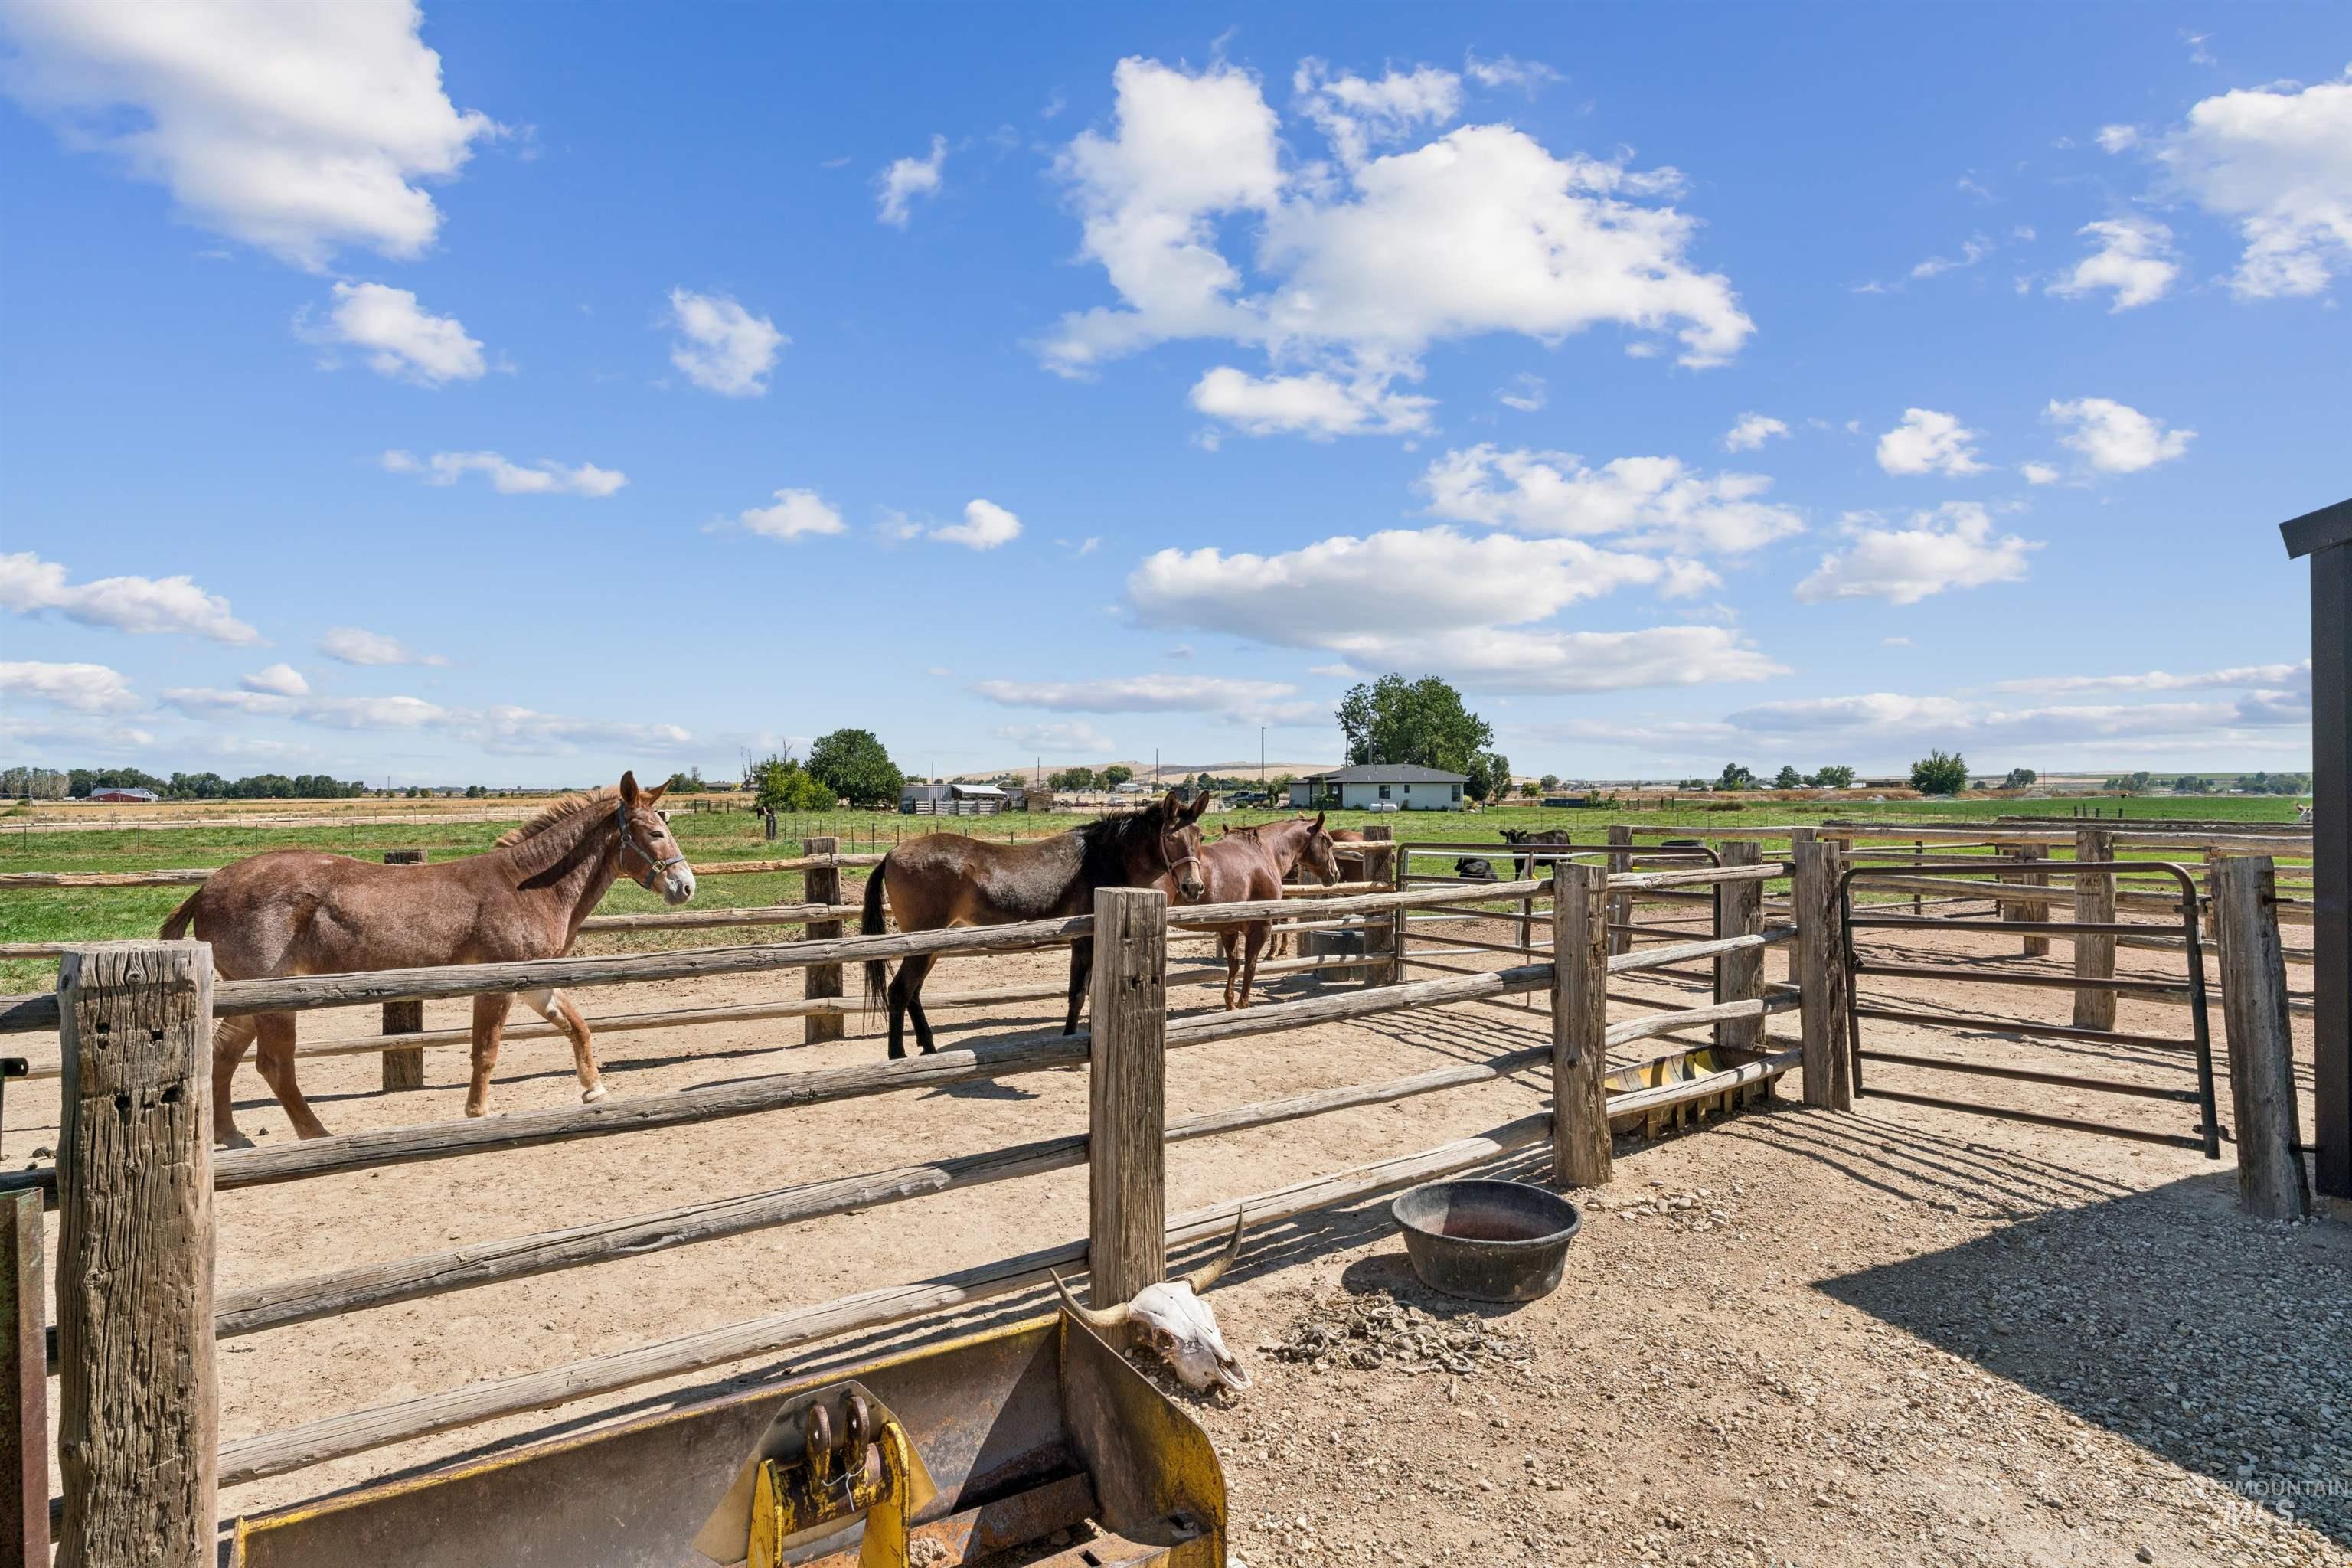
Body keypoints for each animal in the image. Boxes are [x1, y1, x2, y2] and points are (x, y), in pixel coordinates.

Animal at [162, 772, 695, 1146]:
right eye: (652, 832)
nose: (686, 886)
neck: (526, 887)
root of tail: (207, 888)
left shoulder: (534, 983)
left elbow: (578, 1026)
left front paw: (593, 1089)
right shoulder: (497, 984)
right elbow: (485, 1052)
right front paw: (478, 1113)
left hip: (250, 1002)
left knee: (224, 1054)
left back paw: (232, 1136)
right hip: (275, 1002)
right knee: (274, 1066)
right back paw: (316, 1135)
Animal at [861, 790, 1210, 1058]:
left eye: (1200, 836)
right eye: (1170, 837)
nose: (1194, 887)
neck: (1103, 858)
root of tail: (891, 853)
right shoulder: (1085, 942)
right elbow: (1077, 994)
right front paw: (1070, 1045)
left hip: (932, 945)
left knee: (914, 993)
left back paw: (929, 1048)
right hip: (922, 945)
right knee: (899, 991)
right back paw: (897, 1056)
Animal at [1187, 814, 1340, 1009]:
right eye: (1330, 842)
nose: (1335, 874)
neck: (1264, 853)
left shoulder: (1229, 929)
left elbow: (1234, 964)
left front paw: (1231, 1004)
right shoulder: (1261, 928)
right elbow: (1250, 966)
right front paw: (1243, 1004)